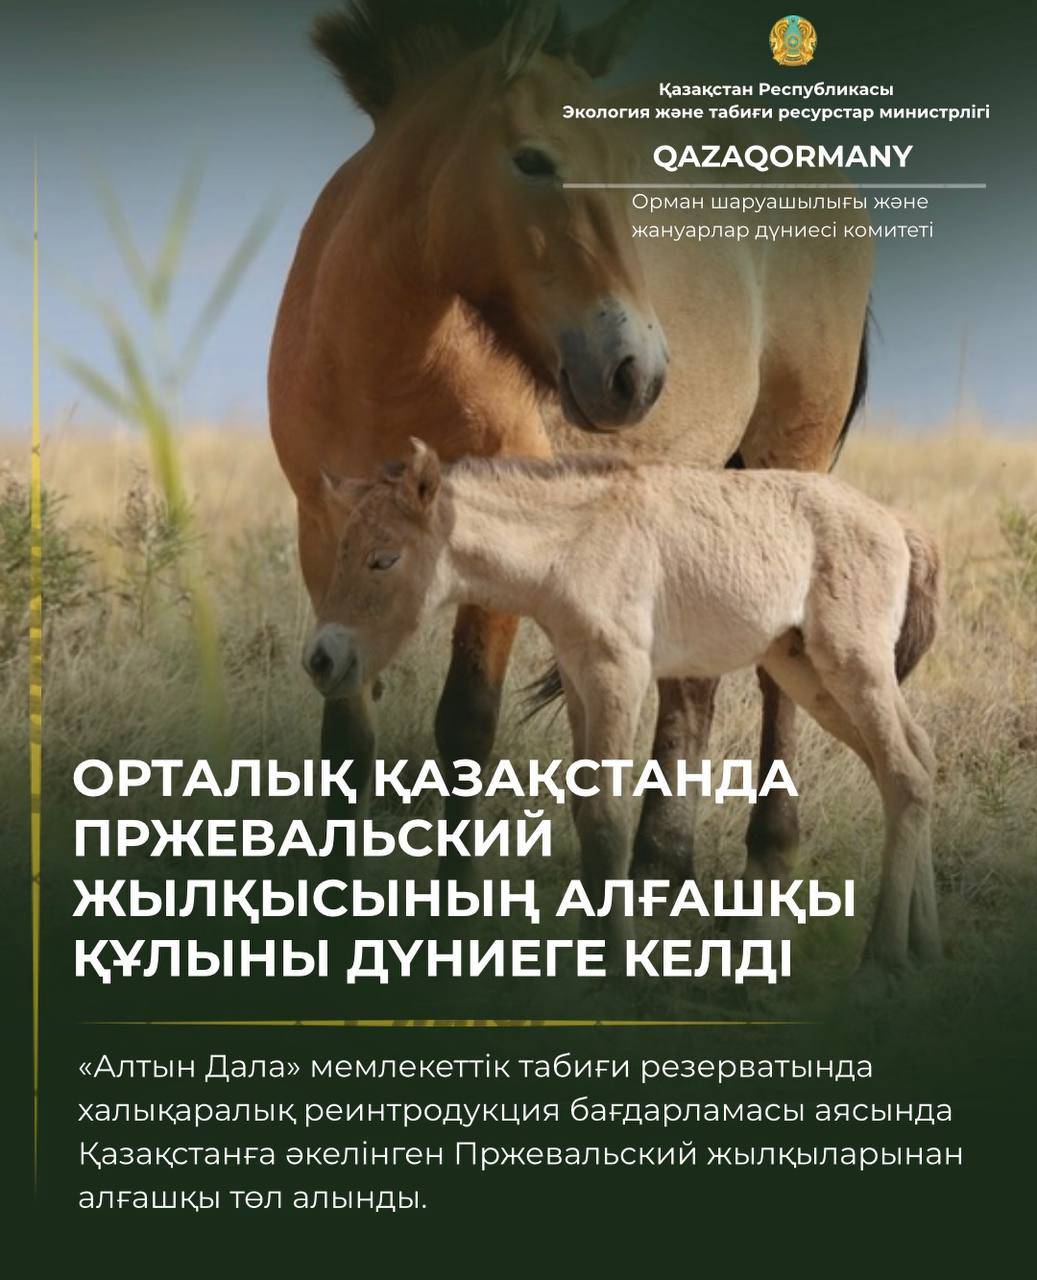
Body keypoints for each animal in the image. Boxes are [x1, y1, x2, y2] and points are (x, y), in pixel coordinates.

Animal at [269, 0, 873, 884]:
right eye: (532, 160)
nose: (635, 372)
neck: (381, 361)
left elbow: (464, 725)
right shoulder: (324, 530)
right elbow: (345, 727)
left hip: (790, 457)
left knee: (778, 670)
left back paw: (769, 847)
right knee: (692, 683)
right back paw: (661, 860)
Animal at [304, 440, 943, 974]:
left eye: (384, 559)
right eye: (341, 551)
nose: (321, 660)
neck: (574, 543)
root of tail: (897, 524)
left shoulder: (620, 674)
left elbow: (608, 817)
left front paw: (617, 965)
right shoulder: (580, 680)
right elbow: (584, 809)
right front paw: (592, 949)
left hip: (852, 665)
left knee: (906, 776)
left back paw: (882, 957)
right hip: (807, 673)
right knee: (915, 760)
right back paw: (922, 943)